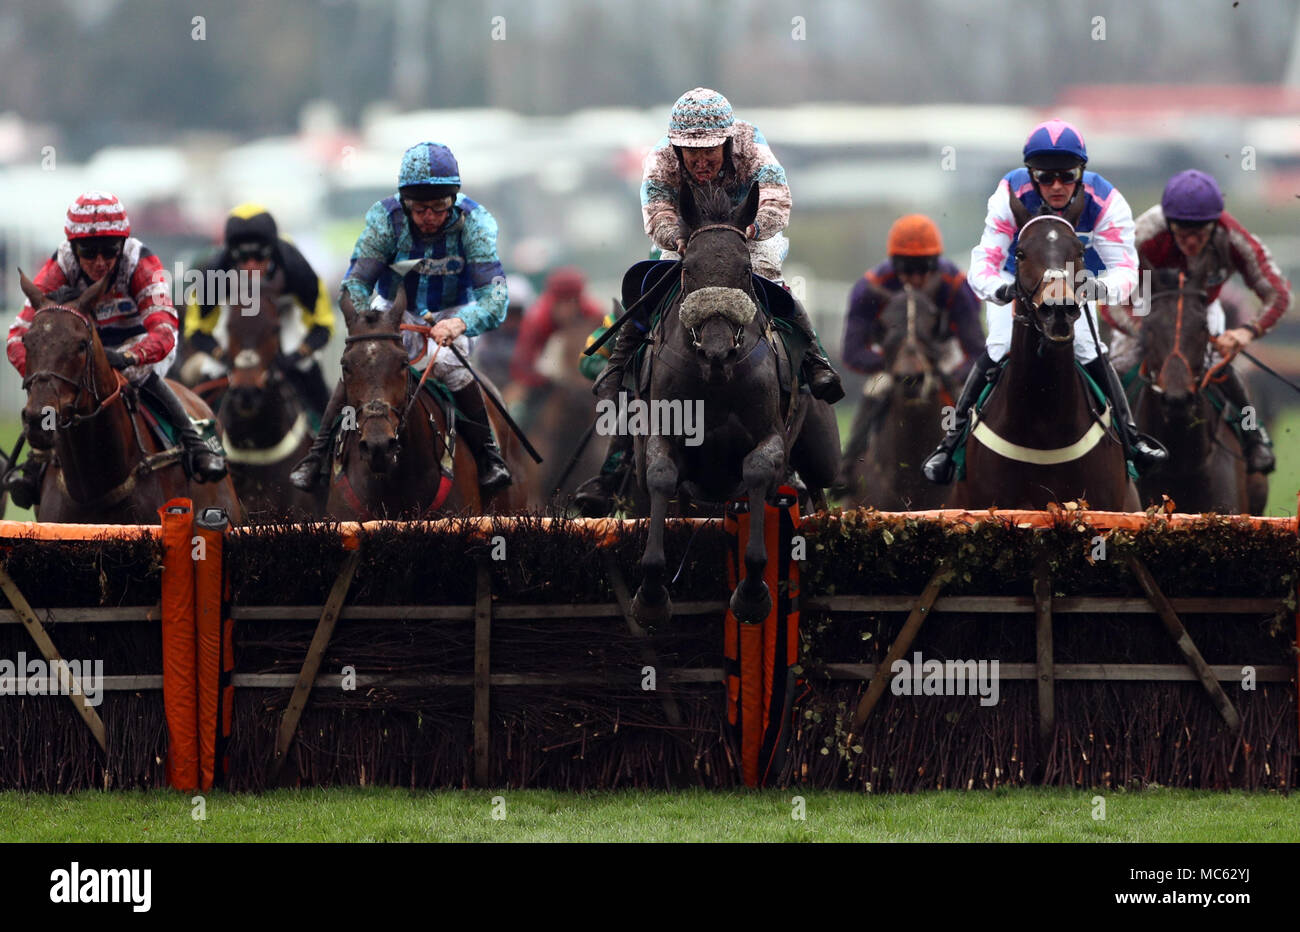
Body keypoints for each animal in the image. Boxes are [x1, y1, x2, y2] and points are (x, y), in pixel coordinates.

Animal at [631, 181, 837, 621]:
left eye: (744, 270)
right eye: (688, 269)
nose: (717, 350)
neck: (714, 380)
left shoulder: (770, 437)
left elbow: (758, 472)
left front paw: (752, 592)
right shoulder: (663, 434)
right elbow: (660, 476)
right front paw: (652, 594)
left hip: (820, 455)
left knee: (818, 489)